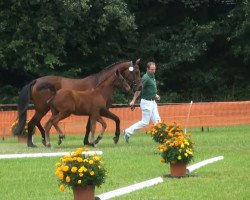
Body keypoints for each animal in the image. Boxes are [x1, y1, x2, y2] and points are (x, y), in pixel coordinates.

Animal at [13, 59, 142, 147]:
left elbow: (102, 123)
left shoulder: (97, 111)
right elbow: (95, 125)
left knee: (39, 122)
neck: (99, 86)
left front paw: (90, 141)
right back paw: (33, 143)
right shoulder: (99, 111)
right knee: (33, 123)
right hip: (43, 109)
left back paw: (45, 140)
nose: (139, 87)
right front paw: (110, 138)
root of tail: (35, 81)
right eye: (136, 71)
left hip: (45, 109)